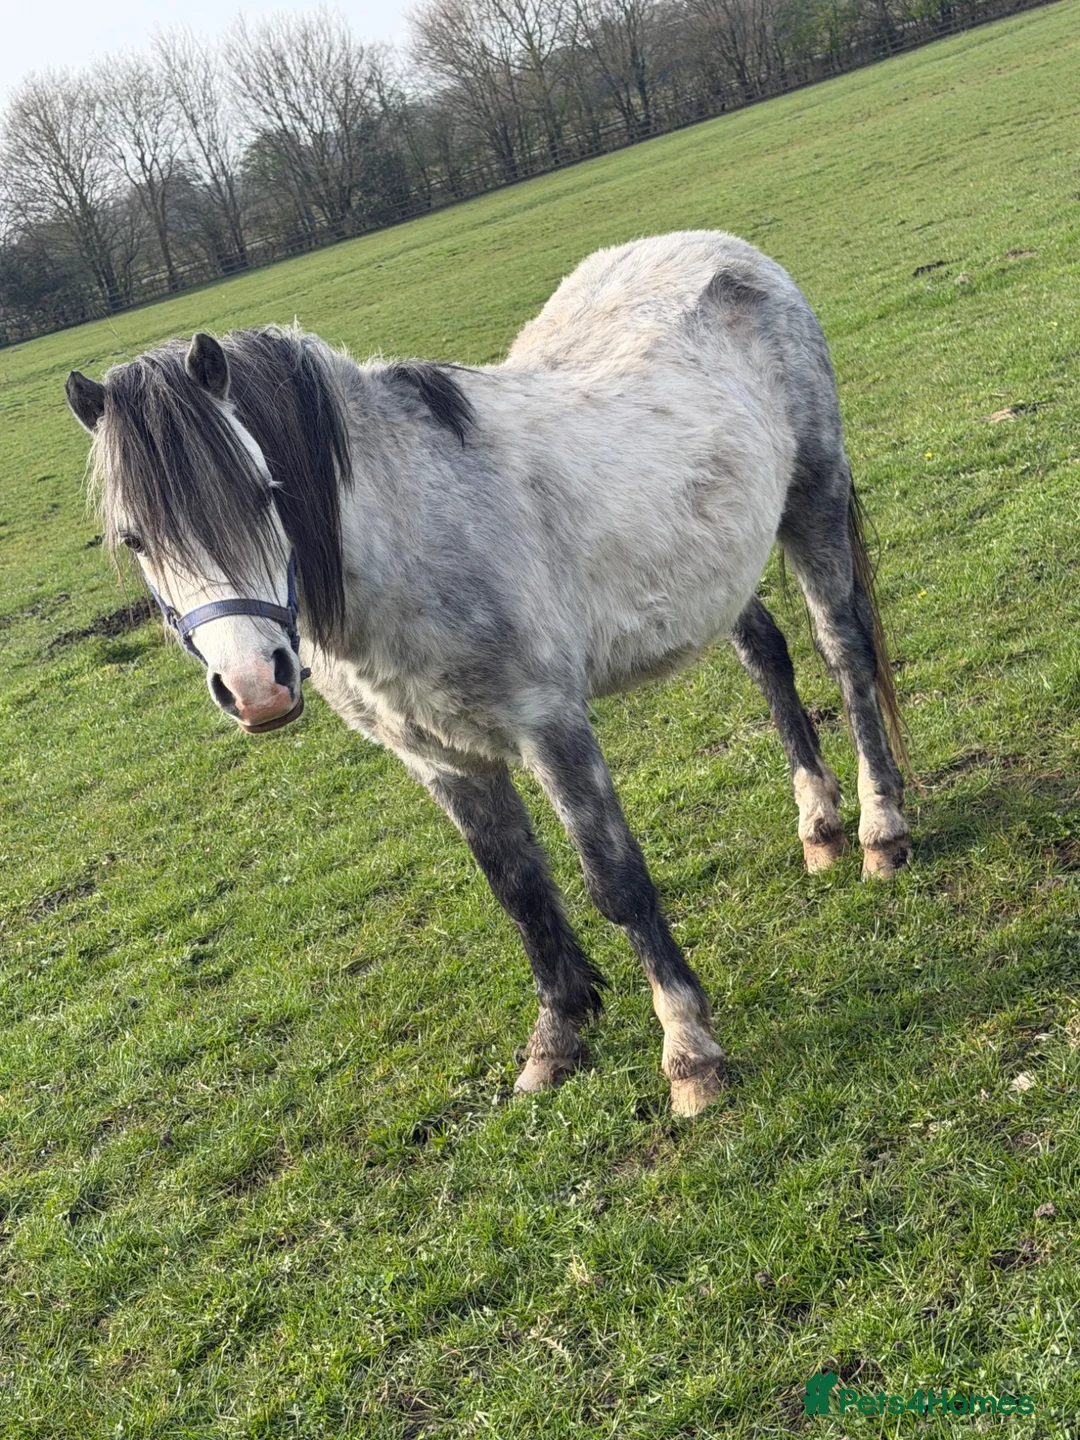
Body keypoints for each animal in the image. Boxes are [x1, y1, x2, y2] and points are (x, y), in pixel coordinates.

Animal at [65, 230, 910, 1116]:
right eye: (133, 539)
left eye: (267, 492)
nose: (257, 686)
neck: (412, 536)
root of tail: (725, 249)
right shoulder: (441, 758)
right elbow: (518, 891)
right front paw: (558, 1039)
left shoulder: (551, 726)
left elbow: (614, 881)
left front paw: (689, 1051)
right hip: (714, 570)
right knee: (767, 656)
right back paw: (818, 827)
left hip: (813, 500)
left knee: (844, 654)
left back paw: (880, 831)